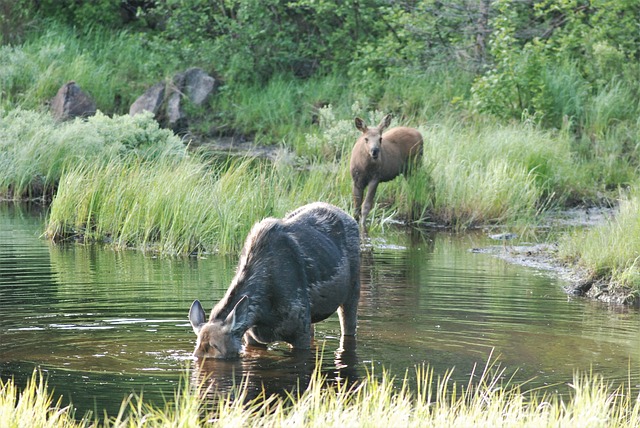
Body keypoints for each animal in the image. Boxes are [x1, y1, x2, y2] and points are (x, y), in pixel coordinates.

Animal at [189, 202, 360, 360]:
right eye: (196, 350)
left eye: (216, 348)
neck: (263, 311)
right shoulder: (251, 337)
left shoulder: (300, 331)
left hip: (352, 292)